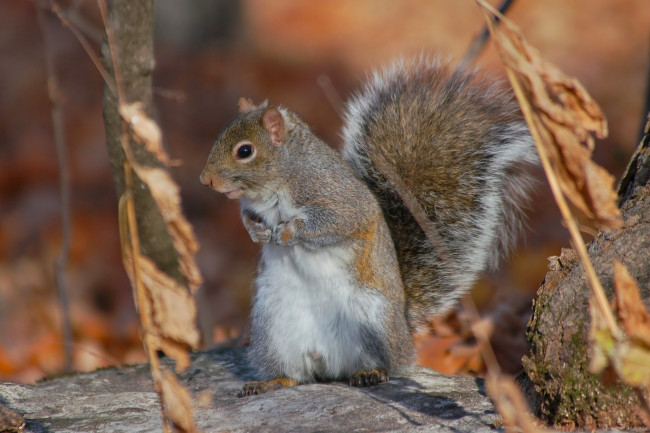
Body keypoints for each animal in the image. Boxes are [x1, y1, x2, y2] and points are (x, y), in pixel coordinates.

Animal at [199, 56, 536, 394]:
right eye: (218, 138)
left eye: (245, 151)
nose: (205, 180)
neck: (282, 177)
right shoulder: (252, 208)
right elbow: (248, 218)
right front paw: (256, 232)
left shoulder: (339, 199)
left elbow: (335, 222)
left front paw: (288, 231)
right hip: (273, 329)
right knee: (295, 372)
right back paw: (273, 381)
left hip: (374, 320)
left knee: (386, 363)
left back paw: (371, 372)